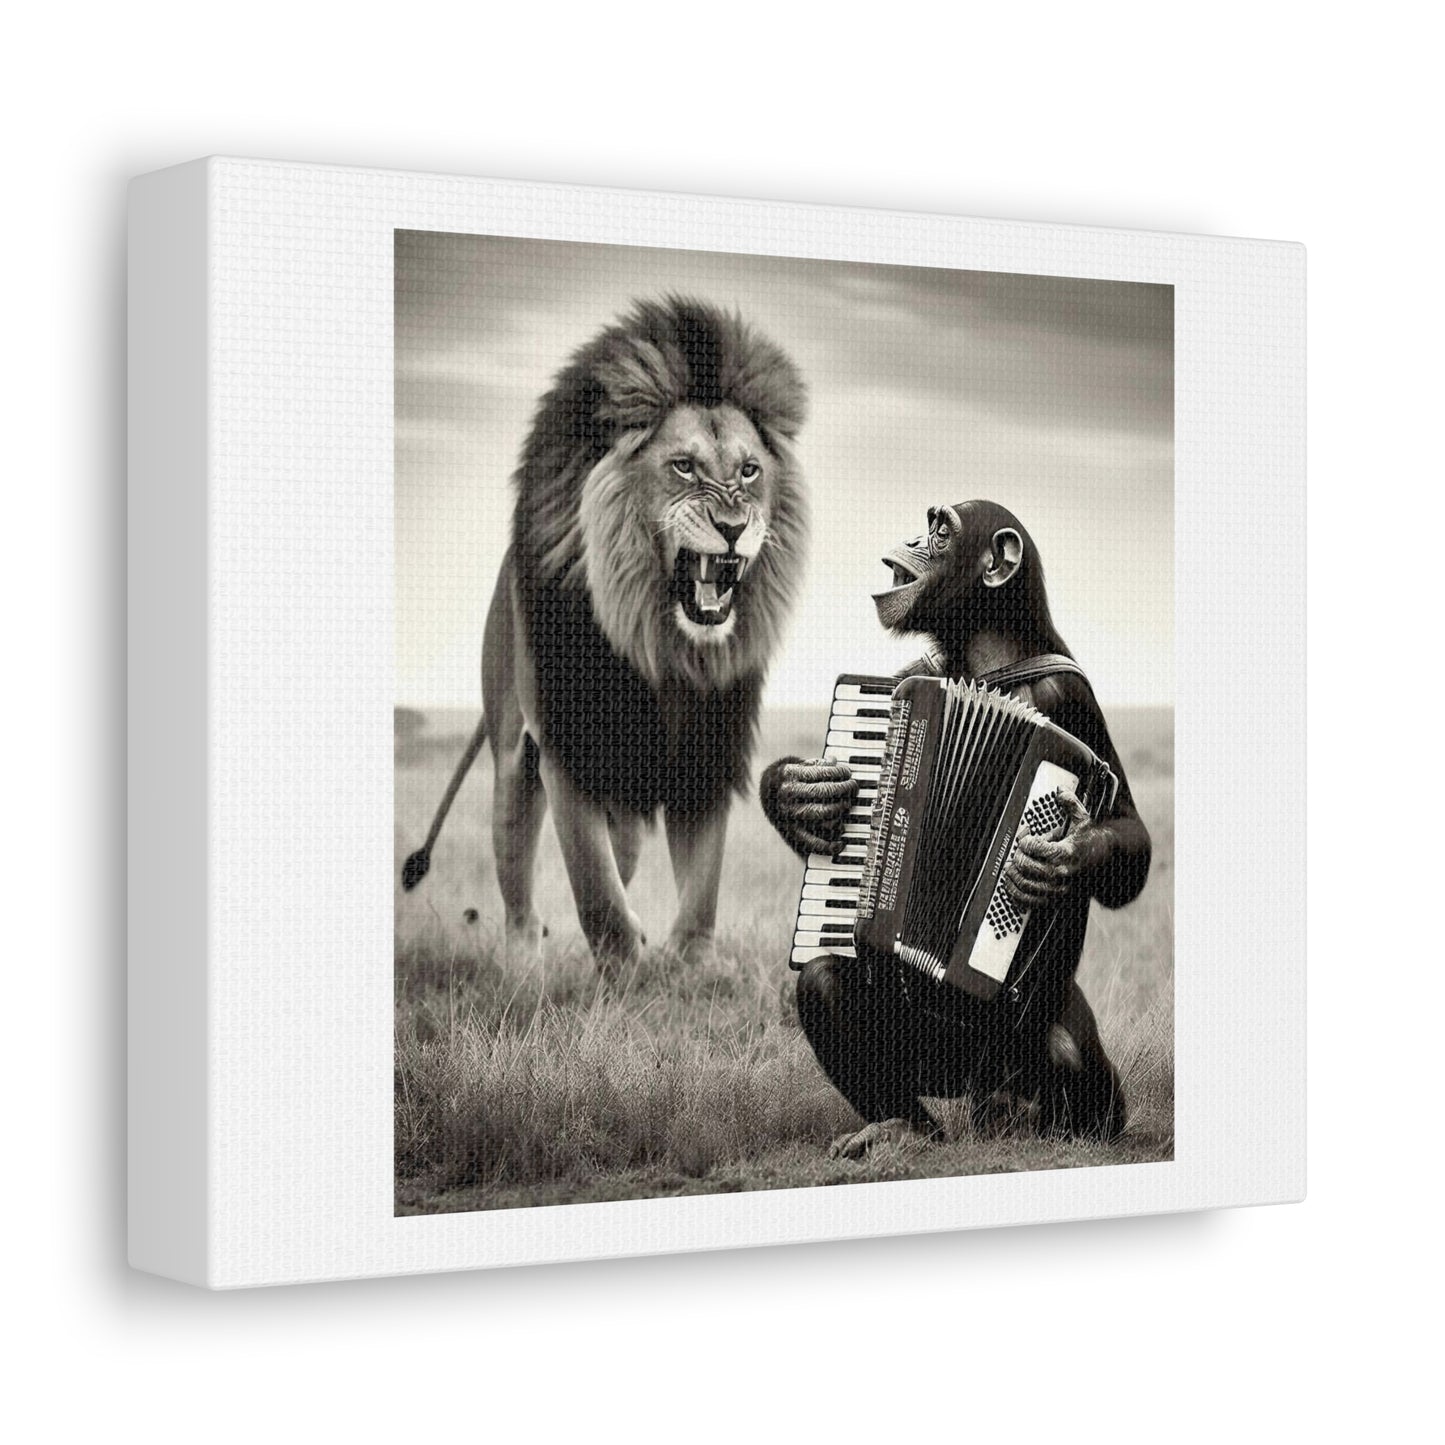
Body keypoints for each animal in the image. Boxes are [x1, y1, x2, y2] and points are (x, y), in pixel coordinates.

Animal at [760, 500, 1151, 1158]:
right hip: (937, 1072)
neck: (986, 664)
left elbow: (1130, 835)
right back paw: (898, 1130)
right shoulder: (905, 678)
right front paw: (801, 796)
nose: (915, 538)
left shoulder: (1070, 701)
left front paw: (1053, 860)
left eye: (941, 530)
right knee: (821, 980)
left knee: (1064, 1059)